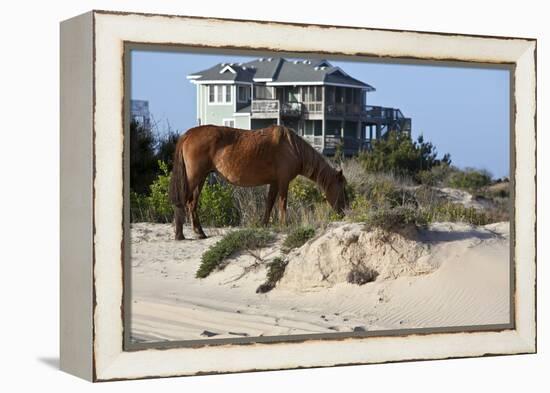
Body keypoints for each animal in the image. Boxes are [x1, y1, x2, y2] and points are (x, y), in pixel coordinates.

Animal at [169, 124, 350, 239]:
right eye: (343, 188)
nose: (344, 211)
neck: (292, 147)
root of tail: (189, 134)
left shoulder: (275, 182)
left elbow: (269, 203)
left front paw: (264, 224)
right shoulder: (283, 181)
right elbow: (282, 203)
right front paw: (284, 225)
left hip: (201, 178)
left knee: (192, 203)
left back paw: (199, 232)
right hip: (194, 177)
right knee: (183, 201)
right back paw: (180, 234)